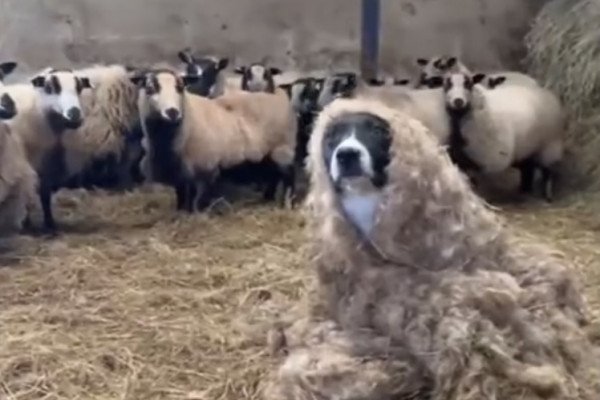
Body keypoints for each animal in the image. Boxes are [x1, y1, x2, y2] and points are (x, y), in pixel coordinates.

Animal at [4, 67, 92, 233]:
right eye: (50, 87)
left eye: (79, 87)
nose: (74, 114)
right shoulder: (29, 164)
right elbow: (29, 194)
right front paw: (27, 223)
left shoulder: (47, 165)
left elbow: (45, 195)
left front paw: (50, 224)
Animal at [134, 68, 298, 212]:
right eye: (150, 88)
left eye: (180, 88)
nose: (172, 112)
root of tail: (278, 93)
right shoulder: (181, 173)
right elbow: (181, 195)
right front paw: (181, 212)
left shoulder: (206, 167)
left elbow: (199, 200)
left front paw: (198, 214)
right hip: (268, 154)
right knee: (273, 176)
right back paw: (267, 198)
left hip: (283, 148)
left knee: (288, 176)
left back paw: (288, 202)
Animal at [440, 70, 568, 202]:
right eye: (447, 85)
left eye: (468, 84)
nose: (458, 101)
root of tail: (548, 93)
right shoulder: (461, 156)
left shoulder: (487, 157)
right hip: (528, 148)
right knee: (528, 169)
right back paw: (524, 190)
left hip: (550, 146)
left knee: (547, 171)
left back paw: (547, 195)